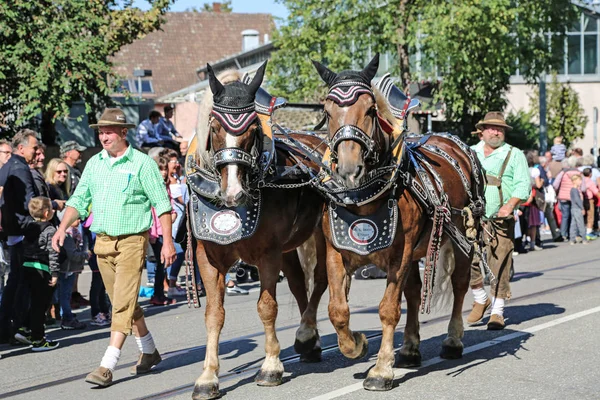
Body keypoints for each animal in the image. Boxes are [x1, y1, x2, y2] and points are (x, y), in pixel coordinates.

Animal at [188, 62, 328, 396]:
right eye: (215, 127)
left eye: (253, 129)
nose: (234, 193)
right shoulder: (208, 258)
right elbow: (214, 314)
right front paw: (208, 377)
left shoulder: (268, 254)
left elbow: (267, 307)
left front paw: (271, 366)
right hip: (289, 247)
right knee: (298, 283)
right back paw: (310, 341)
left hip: (321, 235)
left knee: (321, 279)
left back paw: (308, 333)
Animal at [312, 55, 486, 390]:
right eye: (327, 112)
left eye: (370, 109)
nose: (349, 170)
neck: (365, 199)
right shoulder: (335, 252)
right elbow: (337, 310)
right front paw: (357, 344)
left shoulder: (400, 253)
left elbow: (389, 309)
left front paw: (381, 370)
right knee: (416, 293)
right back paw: (409, 349)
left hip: (460, 237)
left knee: (459, 285)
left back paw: (452, 341)